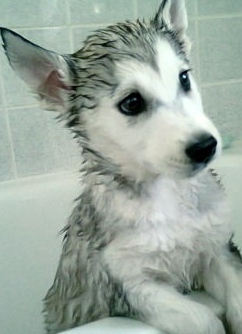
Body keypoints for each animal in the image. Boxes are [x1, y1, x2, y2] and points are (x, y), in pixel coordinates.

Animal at [1, 0, 242, 334]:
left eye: (184, 78)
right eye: (132, 103)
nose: (205, 146)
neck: (168, 195)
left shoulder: (218, 251)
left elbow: (238, 299)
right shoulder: (129, 285)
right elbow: (204, 319)